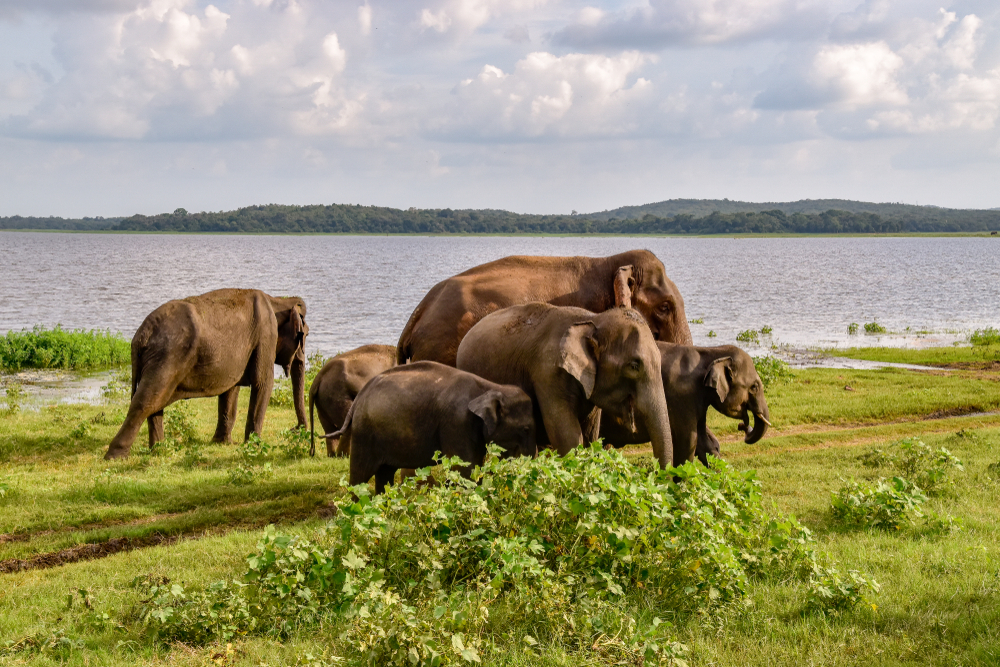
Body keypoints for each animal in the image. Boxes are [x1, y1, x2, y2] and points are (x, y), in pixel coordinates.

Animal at [104, 290, 308, 462]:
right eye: (304, 335)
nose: (295, 429)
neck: (278, 300)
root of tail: (141, 334)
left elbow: (230, 390)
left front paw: (223, 443)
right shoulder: (266, 336)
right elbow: (263, 383)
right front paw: (253, 446)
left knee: (154, 403)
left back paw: (160, 450)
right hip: (166, 358)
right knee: (145, 401)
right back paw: (115, 457)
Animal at [330, 360, 540, 496]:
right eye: (526, 429)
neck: (489, 386)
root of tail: (360, 397)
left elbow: (474, 466)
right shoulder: (456, 423)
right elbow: (464, 469)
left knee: (385, 473)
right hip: (365, 433)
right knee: (360, 476)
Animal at [600, 342, 772, 468]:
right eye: (754, 387)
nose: (742, 426)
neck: (711, 352)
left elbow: (704, 442)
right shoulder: (681, 398)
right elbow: (689, 440)